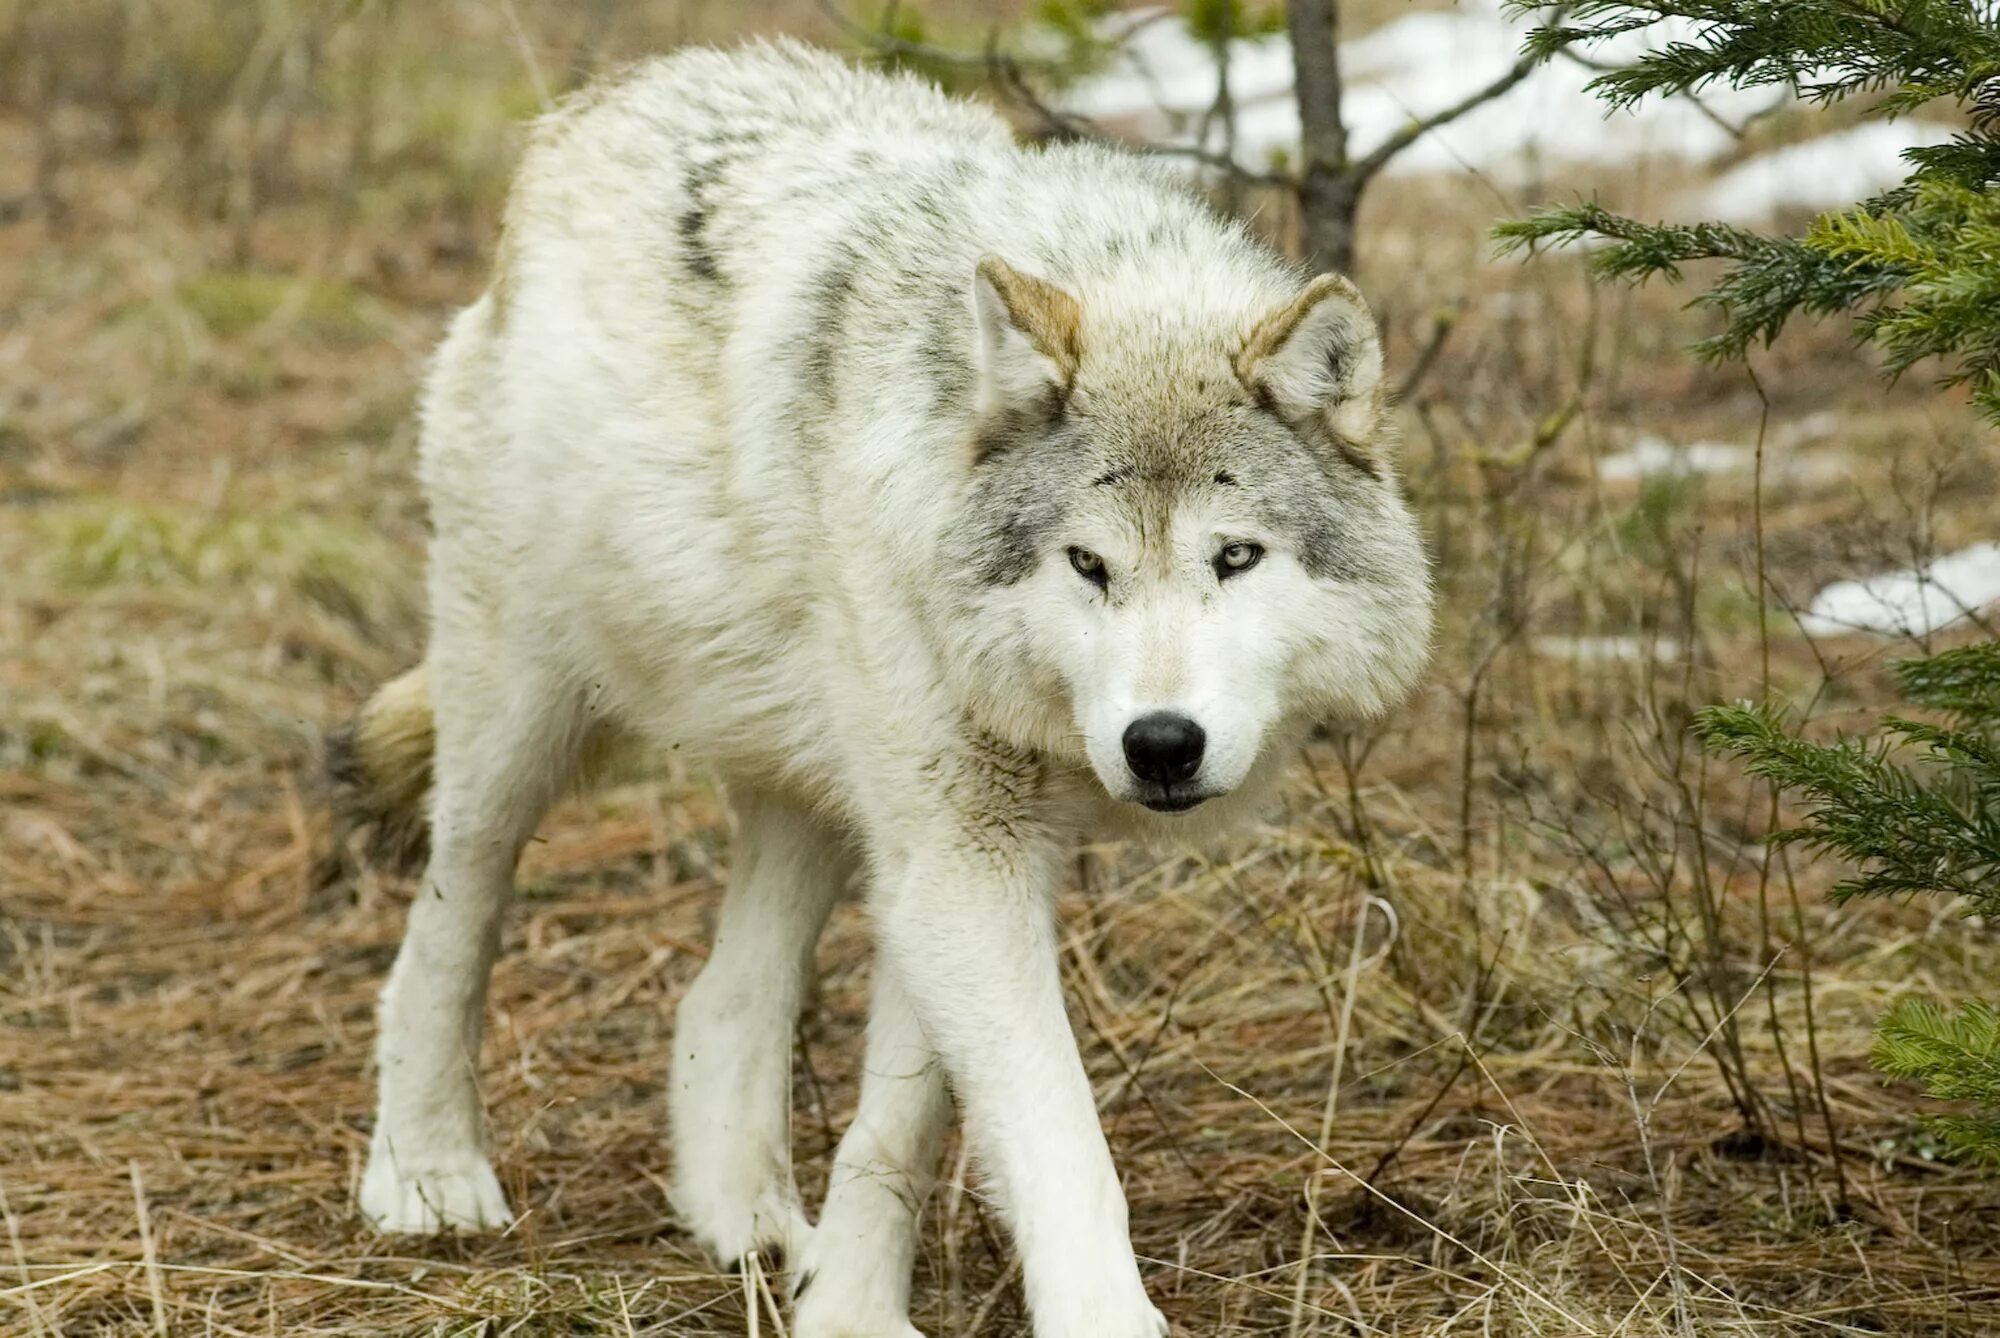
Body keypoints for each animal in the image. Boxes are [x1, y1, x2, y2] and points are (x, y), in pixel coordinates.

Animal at [340, 41, 1440, 1336]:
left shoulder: (958, 854)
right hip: (521, 727)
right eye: (1087, 565)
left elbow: (903, 1119)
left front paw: (845, 1301)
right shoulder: (959, 851)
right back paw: (426, 1173)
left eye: (1234, 557)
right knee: (441, 933)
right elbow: (1061, 1149)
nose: (1159, 744)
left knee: (720, 1000)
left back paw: (747, 1223)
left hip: (819, 790)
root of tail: (605, 95)